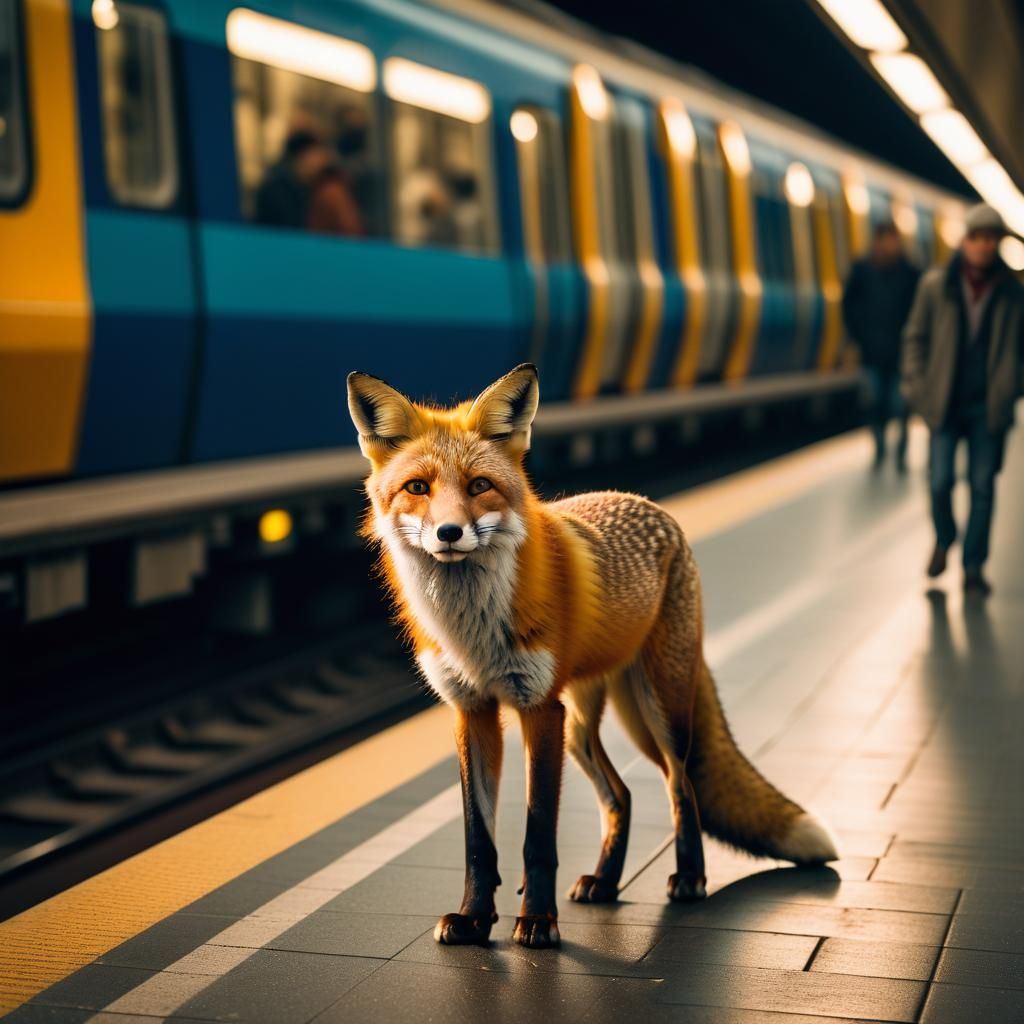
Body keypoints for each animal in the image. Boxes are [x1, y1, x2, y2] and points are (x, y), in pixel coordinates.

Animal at [347, 362, 837, 950]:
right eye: (417, 487)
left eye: (479, 485)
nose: (449, 532)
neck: (473, 629)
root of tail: (649, 503)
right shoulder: (473, 711)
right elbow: (478, 839)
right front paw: (473, 919)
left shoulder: (538, 708)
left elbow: (537, 837)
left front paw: (537, 922)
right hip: (580, 725)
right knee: (621, 795)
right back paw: (605, 883)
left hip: (655, 709)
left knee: (682, 784)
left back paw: (690, 879)